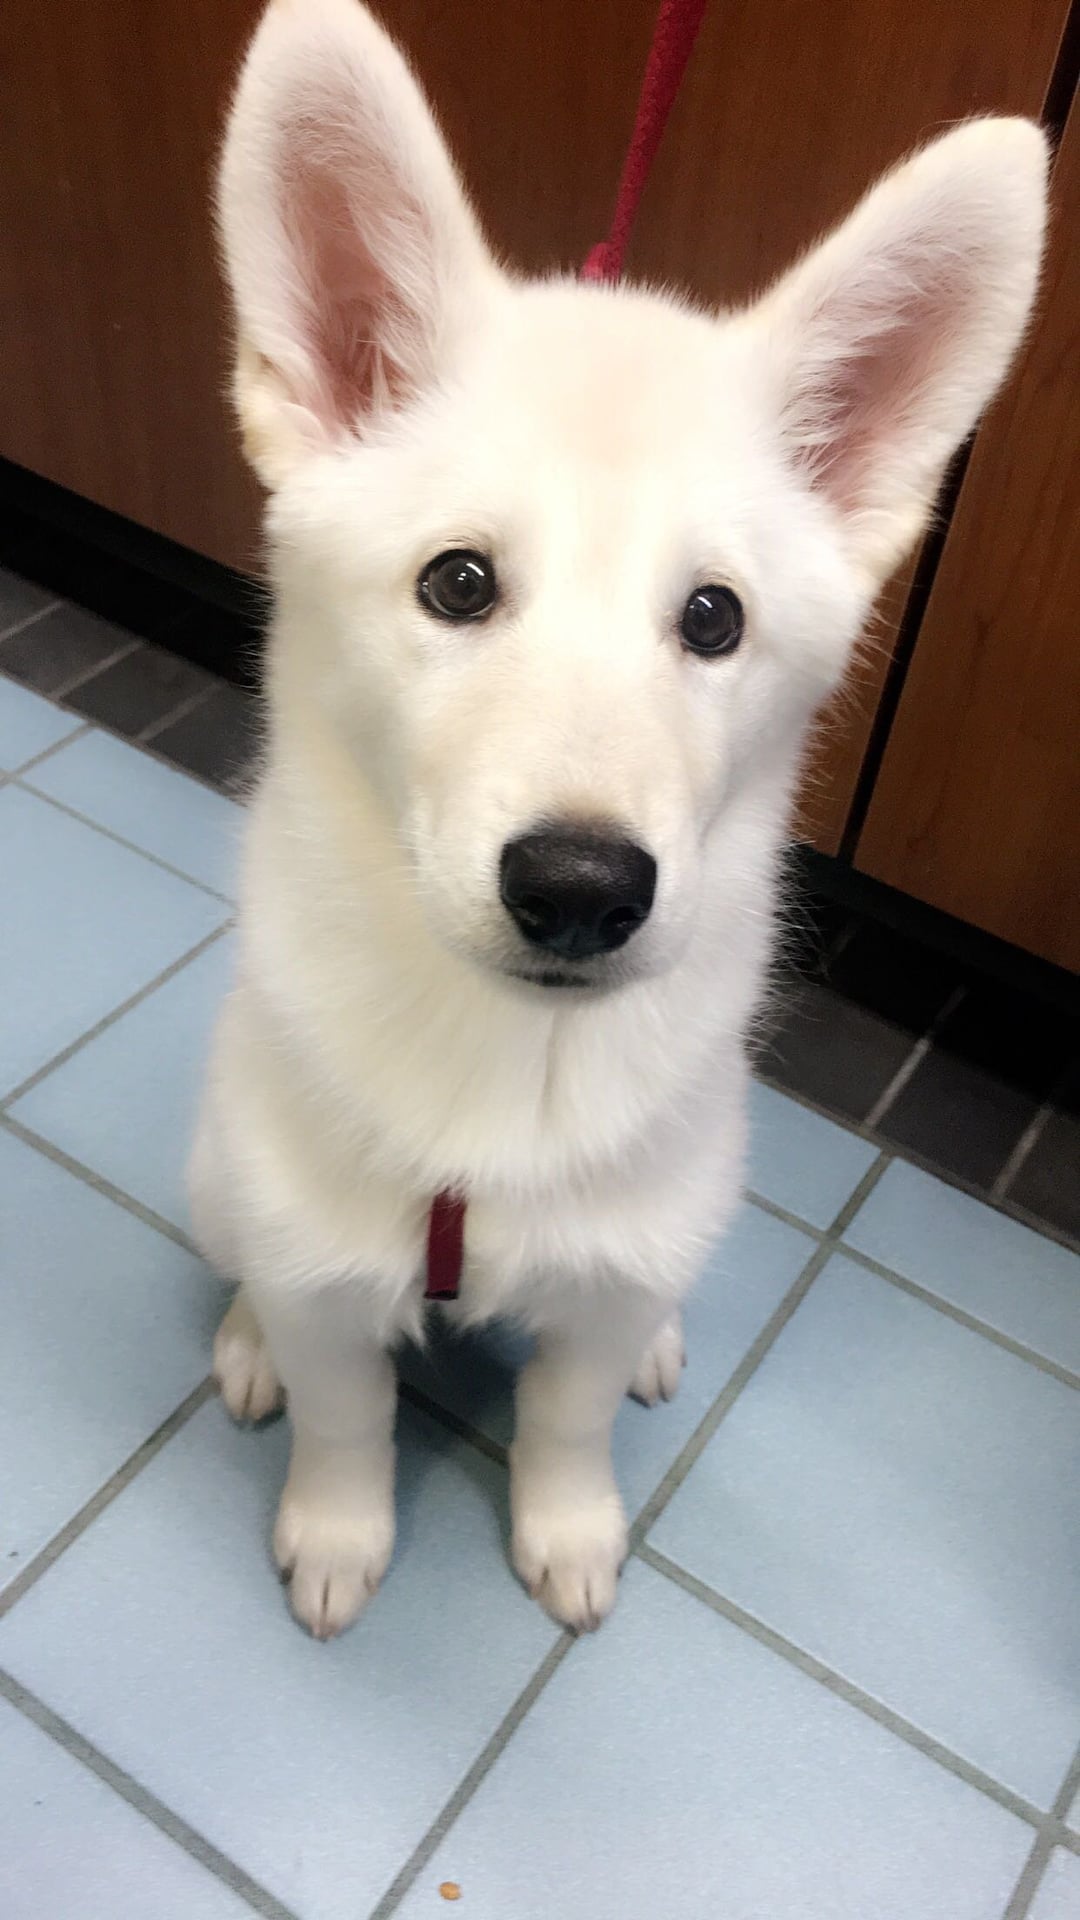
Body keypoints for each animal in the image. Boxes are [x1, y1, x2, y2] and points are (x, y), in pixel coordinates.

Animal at [189, 0, 1045, 1635]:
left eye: (713, 618)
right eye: (458, 583)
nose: (581, 886)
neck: (506, 1068)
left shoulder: (610, 1261)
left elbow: (568, 1418)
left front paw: (569, 1531)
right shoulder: (328, 1260)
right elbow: (345, 1412)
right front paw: (337, 1533)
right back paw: (248, 1337)